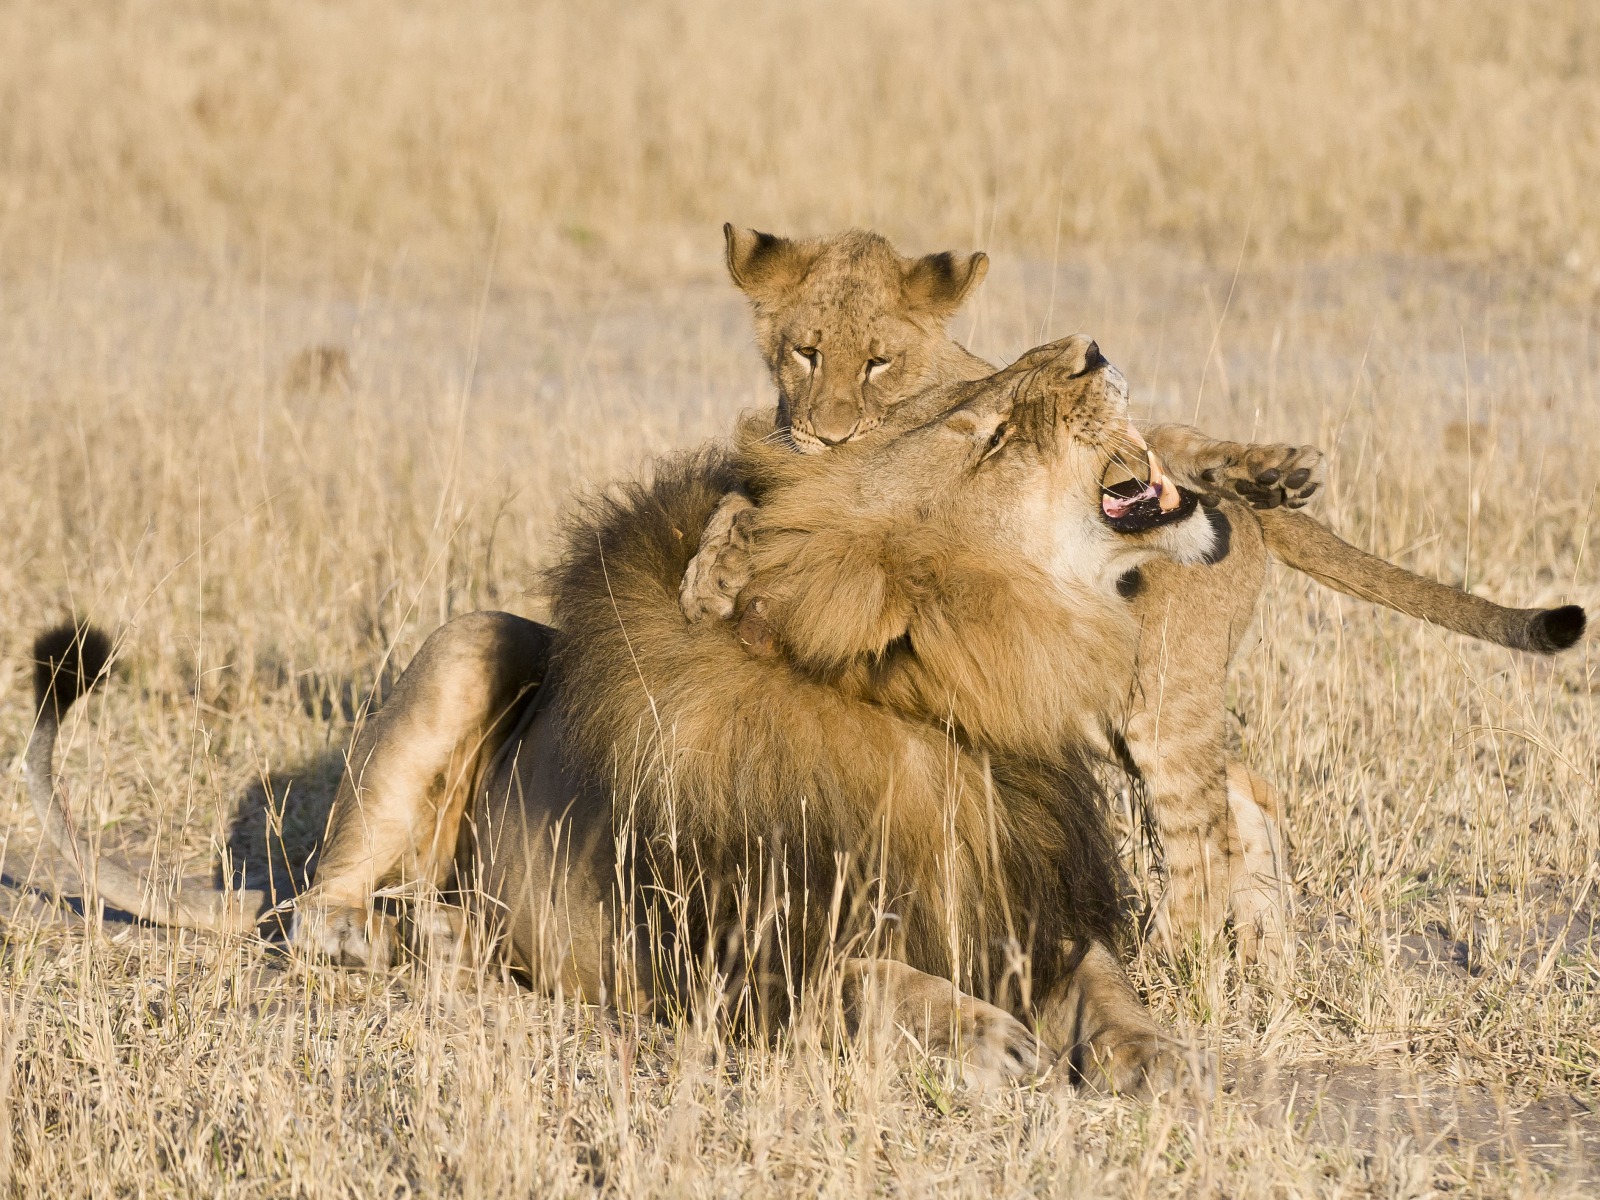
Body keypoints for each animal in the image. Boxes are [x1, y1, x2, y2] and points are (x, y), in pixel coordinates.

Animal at [32, 336, 1228, 1093]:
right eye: (986, 430)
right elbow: (866, 979)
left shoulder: (1026, 898)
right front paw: (982, 1034)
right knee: (316, 913)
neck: (941, 708)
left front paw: (1162, 1057)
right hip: (470, 640)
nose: (1092, 352)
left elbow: (1107, 986)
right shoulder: (716, 958)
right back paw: (440, 936)